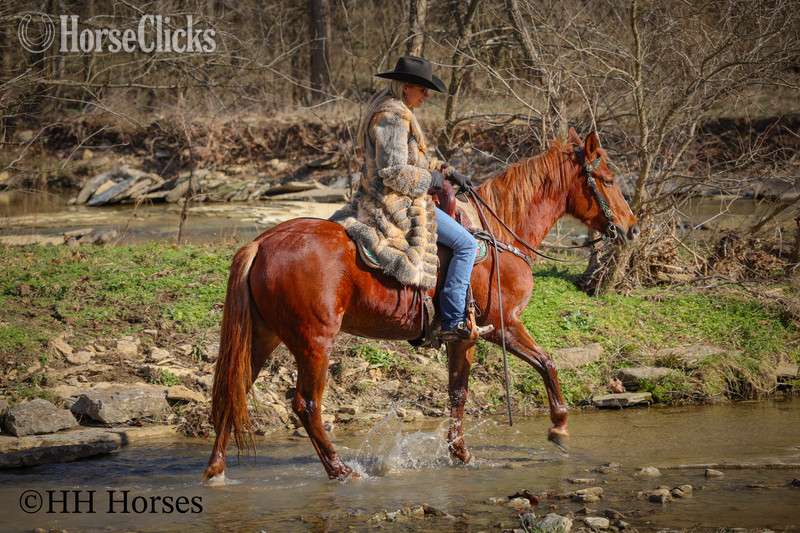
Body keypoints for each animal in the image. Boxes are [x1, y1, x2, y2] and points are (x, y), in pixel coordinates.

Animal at [203, 127, 639, 481]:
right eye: (608, 179)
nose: (631, 228)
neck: (499, 236)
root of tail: (263, 242)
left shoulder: (470, 336)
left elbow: (459, 391)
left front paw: (461, 453)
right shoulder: (497, 326)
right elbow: (537, 366)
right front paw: (557, 428)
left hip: (264, 338)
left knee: (233, 391)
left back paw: (216, 470)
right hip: (314, 343)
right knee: (307, 405)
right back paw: (341, 470)